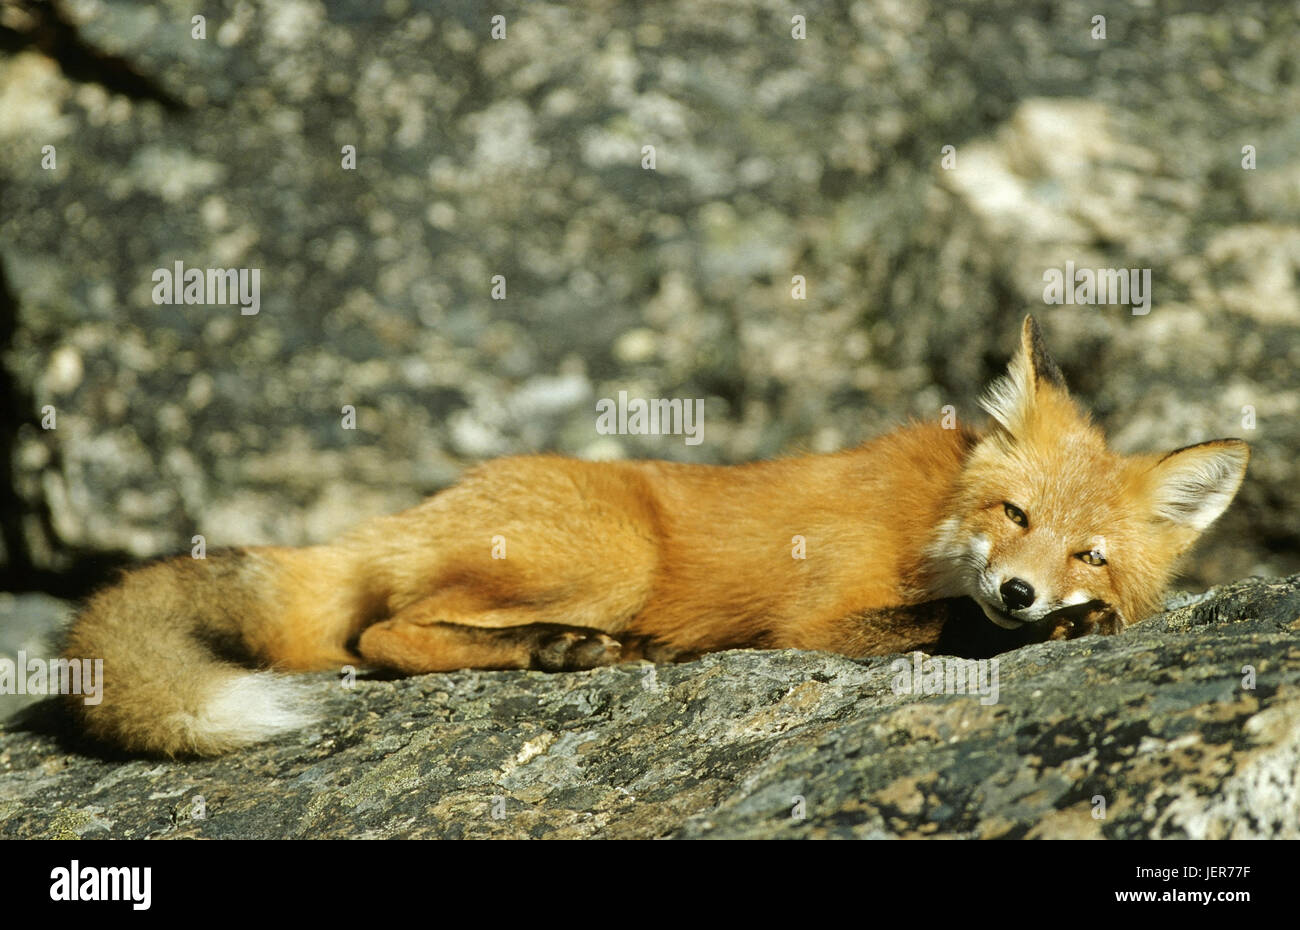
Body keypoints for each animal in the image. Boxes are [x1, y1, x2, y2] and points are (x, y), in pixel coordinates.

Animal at [63, 314, 1248, 754]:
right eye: (1016, 517)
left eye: (1090, 553)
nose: (1020, 591)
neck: (929, 514)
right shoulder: (817, 620)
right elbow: (944, 630)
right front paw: (1040, 634)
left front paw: (1071, 623)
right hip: (611, 558)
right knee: (382, 635)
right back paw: (557, 649)